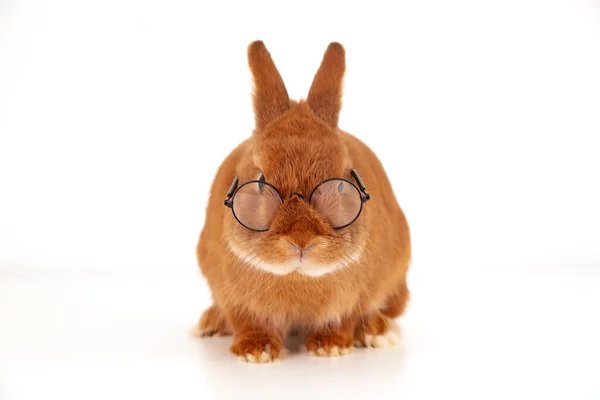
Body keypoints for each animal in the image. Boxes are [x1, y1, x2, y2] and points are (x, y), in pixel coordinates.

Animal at [195, 40, 410, 362]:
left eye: (339, 185)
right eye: (261, 182)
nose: (301, 239)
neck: (297, 277)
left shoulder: (354, 297)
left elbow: (344, 319)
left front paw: (331, 346)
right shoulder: (232, 296)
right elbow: (247, 322)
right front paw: (256, 352)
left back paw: (378, 333)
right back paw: (208, 324)